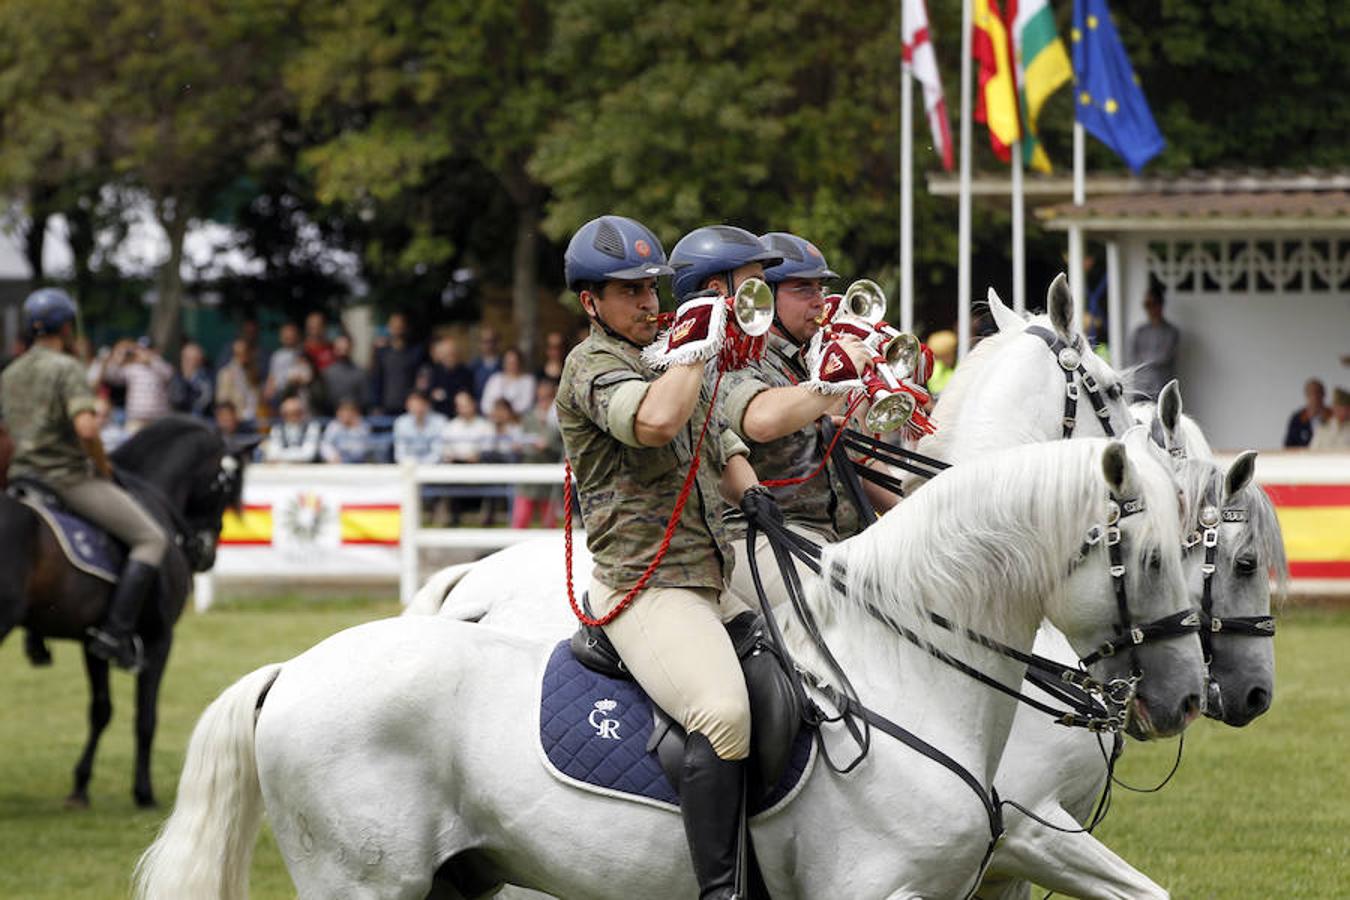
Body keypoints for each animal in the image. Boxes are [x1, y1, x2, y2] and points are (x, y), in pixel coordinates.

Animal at [0, 418, 255, 809]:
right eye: (224, 485)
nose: (206, 553)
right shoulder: (159, 638)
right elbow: (146, 717)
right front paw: (144, 792)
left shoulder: (95, 639)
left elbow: (100, 710)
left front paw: (80, 786)